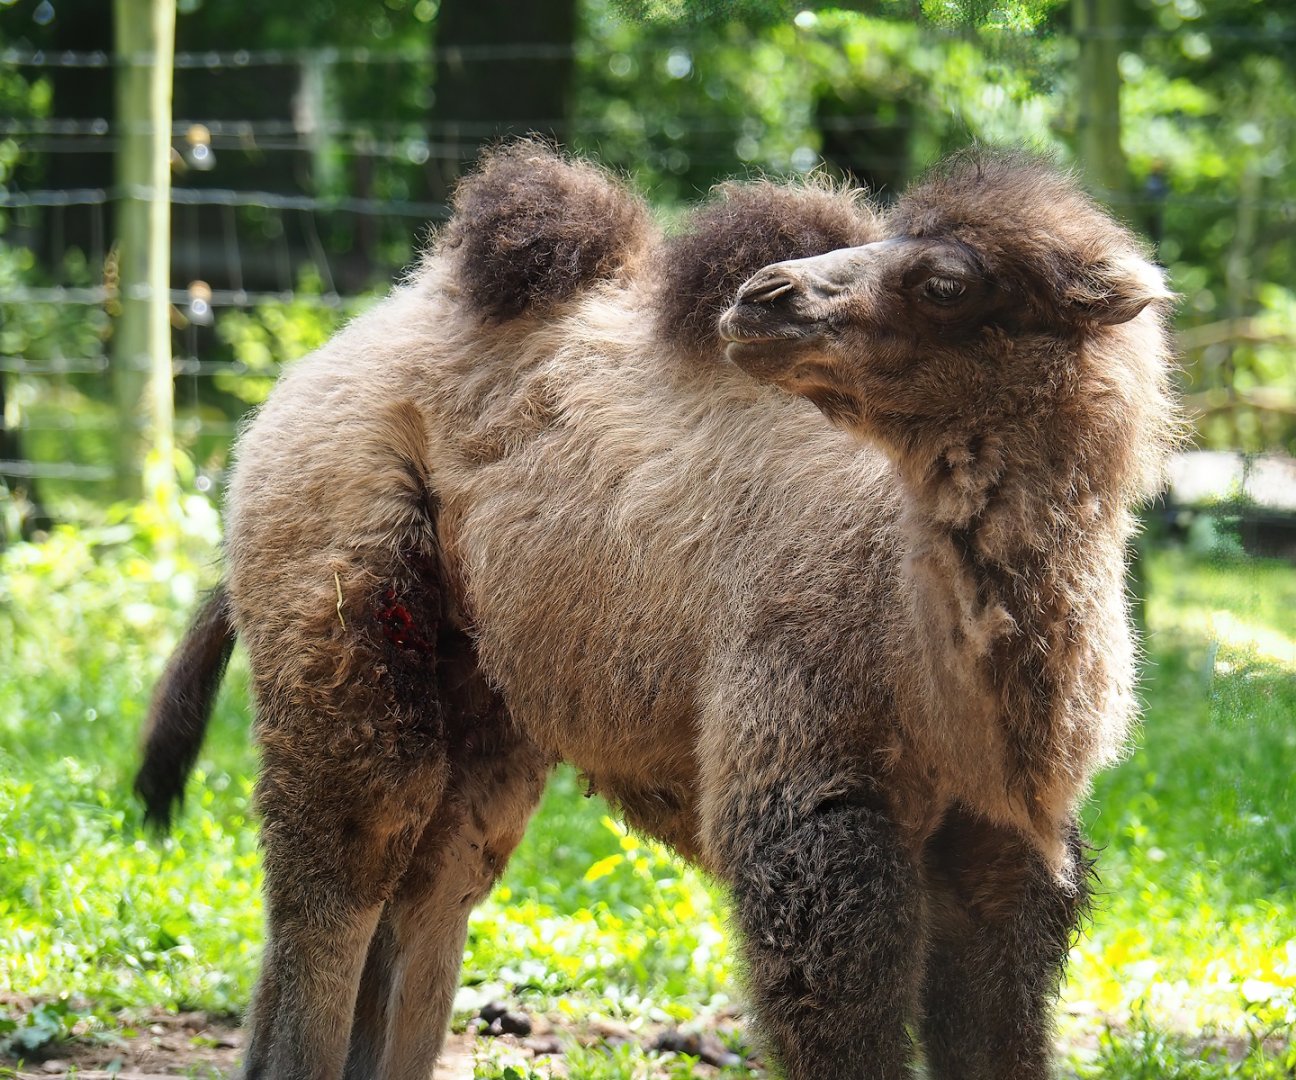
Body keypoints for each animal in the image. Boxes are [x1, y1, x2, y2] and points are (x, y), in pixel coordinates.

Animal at [136, 142, 1177, 1079]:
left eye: (946, 281)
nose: (765, 297)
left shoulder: (1003, 847)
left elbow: (1000, 1028)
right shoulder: (805, 809)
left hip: (484, 674)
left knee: (442, 868)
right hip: (338, 563)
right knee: (350, 850)